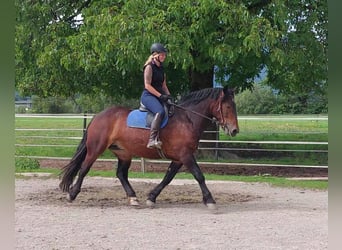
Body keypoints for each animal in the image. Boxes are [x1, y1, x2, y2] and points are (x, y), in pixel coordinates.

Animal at [58, 87, 239, 208]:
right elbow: (199, 176)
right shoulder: (186, 156)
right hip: (96, 149)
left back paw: (133, 198)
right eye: (228, 107)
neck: (187, 119)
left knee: (121, 174)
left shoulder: (179, 158)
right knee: (84, 169)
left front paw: (151, 197)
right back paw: (72, 194)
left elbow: (167, 178)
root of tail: (98, 116)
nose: (234, 130)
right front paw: (210, 200)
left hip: (124, 153)